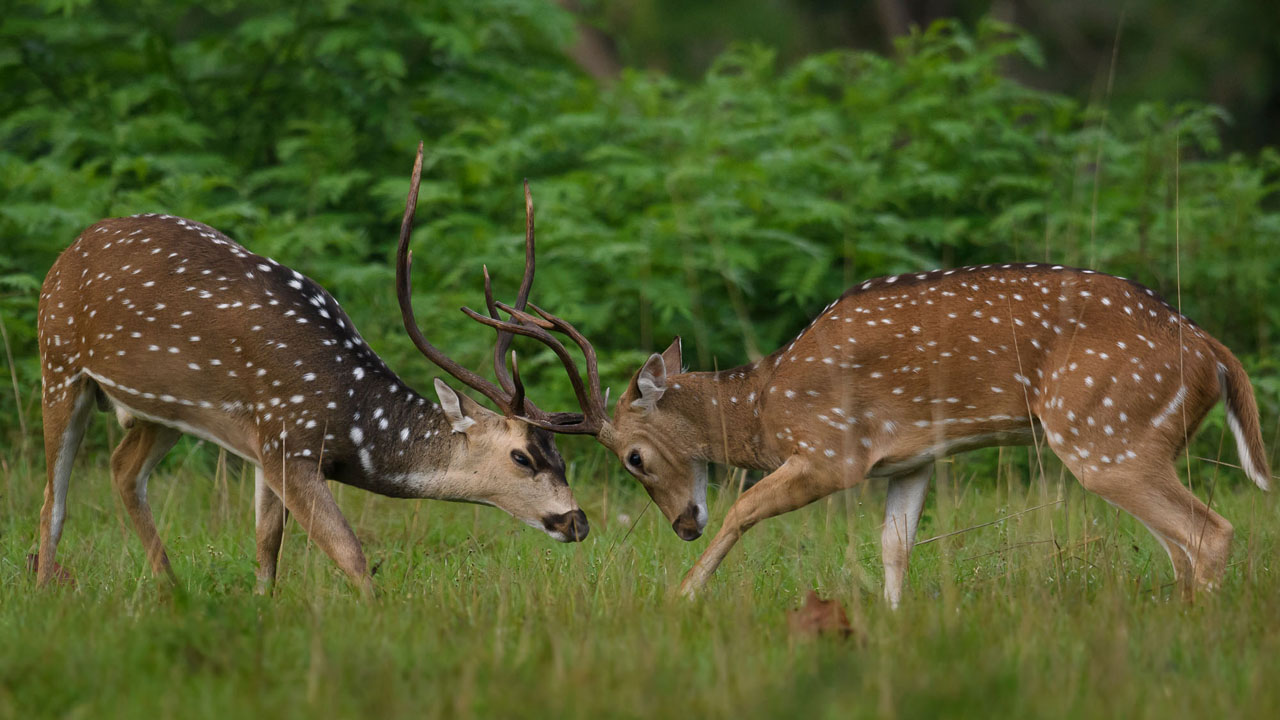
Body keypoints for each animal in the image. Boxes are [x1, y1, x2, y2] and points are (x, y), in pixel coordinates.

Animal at [35, 142, 591, 591]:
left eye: (559, 452)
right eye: (523, 456)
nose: (578, 521)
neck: (351, 417)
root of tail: (66, 254)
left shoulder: (265, 447)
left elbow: (267, 550)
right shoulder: (289, 440)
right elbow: (352, 555)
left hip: (164, 410)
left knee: (122, 469)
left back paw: (173, 593)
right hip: (58, 363)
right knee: (52, 502)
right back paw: (46, 594)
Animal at [478, 260, 1269, 602]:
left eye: (634, 458)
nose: (682, 525)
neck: (765, 404)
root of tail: (1213, 352)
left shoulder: (836, 451)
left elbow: (746, 505)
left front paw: (683, 595)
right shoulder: (908, 460)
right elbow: (894, 547)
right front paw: (891, 628)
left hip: (1104, 431)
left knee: (1210, 532)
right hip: (1129, 440)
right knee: (1180, 546)